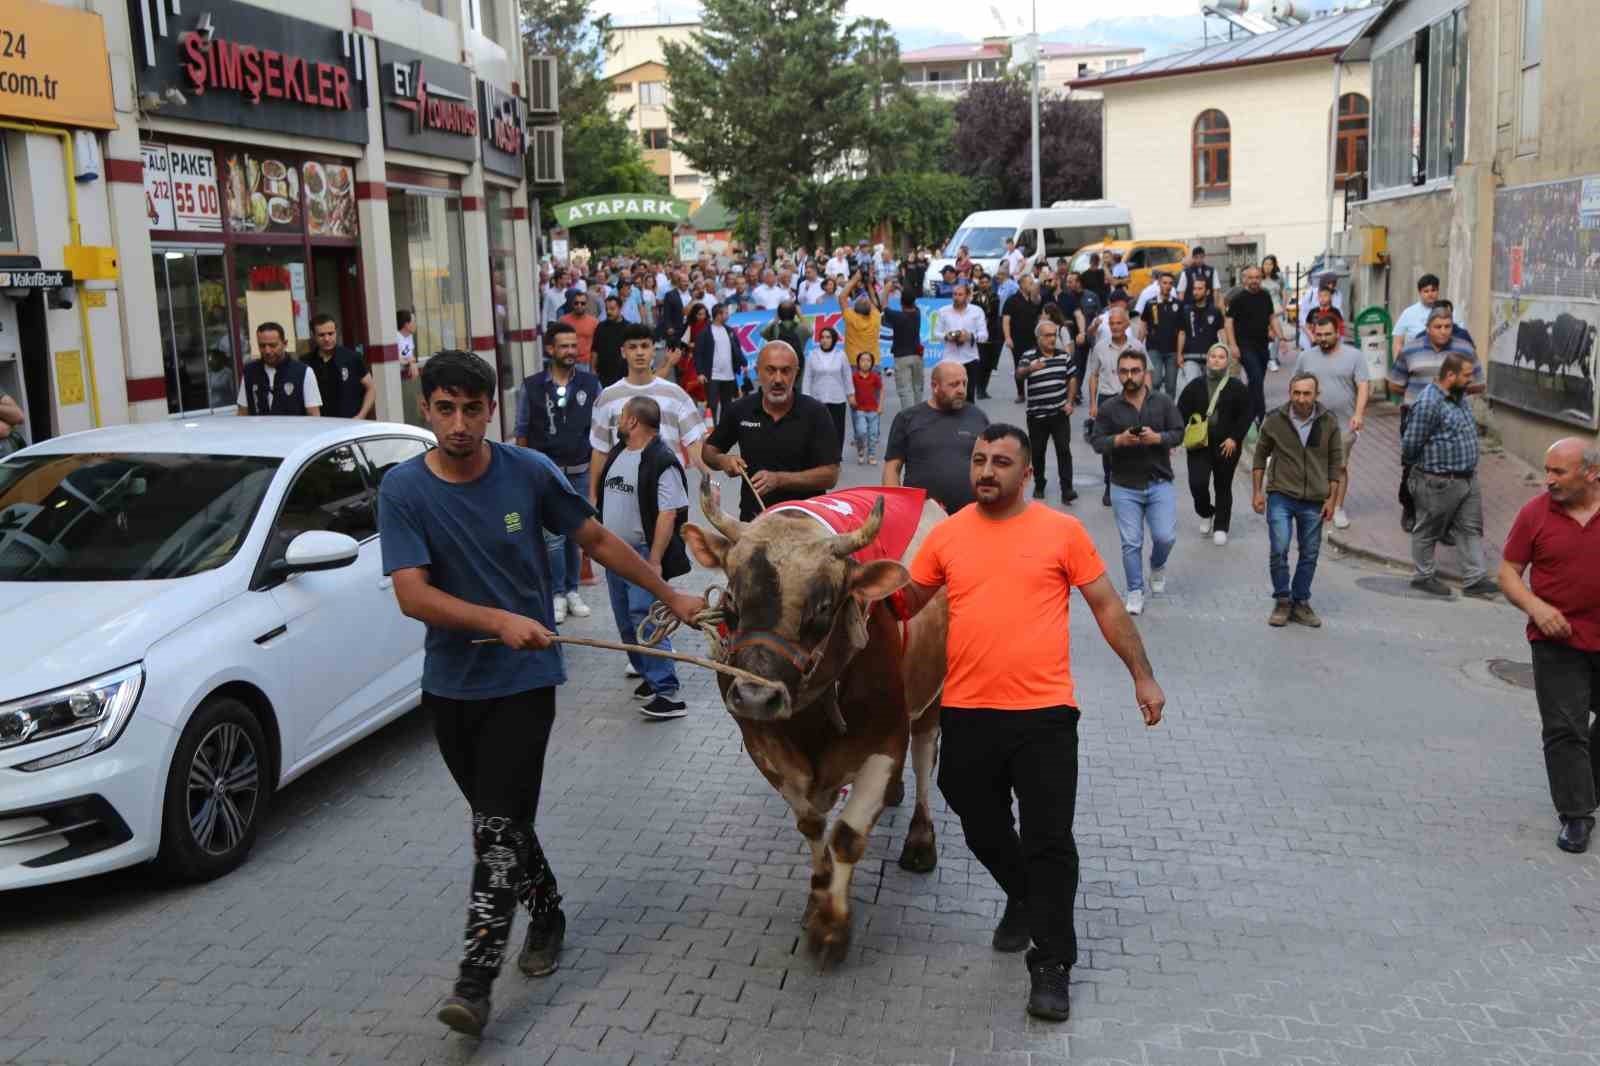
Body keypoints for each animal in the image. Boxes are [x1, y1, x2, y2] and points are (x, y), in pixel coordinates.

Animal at [678, 480, 947, 953]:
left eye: (823, 607)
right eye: (731, 600)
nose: (755, 695)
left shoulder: (885, 741)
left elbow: (847, 835)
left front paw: (832, 925)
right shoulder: (765, 746)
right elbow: (811, 823)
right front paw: (817, 898)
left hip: (929, 700)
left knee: (923, 757)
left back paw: (920, 839)